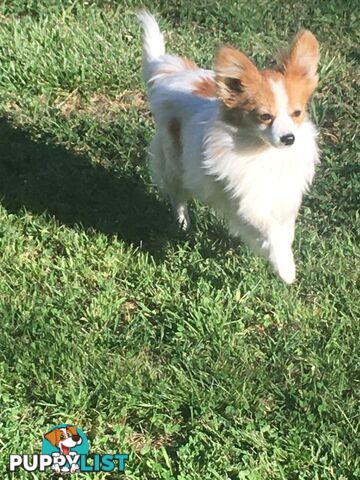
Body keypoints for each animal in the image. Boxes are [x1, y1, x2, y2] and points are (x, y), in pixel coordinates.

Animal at [136, 11, 320, 284]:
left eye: (296, 113)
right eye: (265, 116)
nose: (289, 138)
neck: (264, 152)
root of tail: (173, 73)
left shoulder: (283, 198)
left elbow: (285, 231)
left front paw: (281, 255)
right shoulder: (246, 203)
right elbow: (270, 230)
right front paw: (285, 268)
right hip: (174, 163)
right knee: (178, 195)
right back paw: (182, 224)